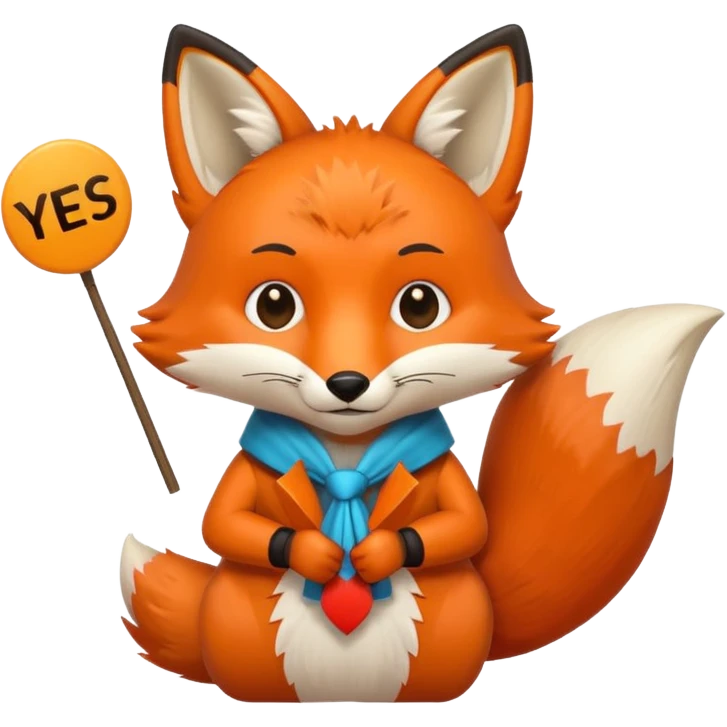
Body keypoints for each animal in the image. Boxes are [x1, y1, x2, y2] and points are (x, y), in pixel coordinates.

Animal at [119, 22, 724, 704]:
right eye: (274, 305)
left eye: (419, 305)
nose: (347, 382)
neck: (347, 457)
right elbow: (224, 523)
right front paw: (317, 554)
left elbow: (465, 526)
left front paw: (375, 554)